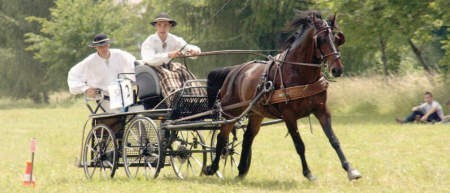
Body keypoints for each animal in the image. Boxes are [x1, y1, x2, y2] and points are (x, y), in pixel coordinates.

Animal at [204, 10, 362, 180]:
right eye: (321, 39)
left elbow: (334, 140)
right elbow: (299, 145)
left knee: (247, 138)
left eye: (336, 39)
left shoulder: (321, 110)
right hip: (231, 113)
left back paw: (241, 172)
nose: (337, 69)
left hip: (256, 113)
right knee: (222, 136)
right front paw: (308, 173)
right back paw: (213, 168)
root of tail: (233, 71)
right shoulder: (289, 115)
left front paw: (350, 170)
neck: (300, 72)